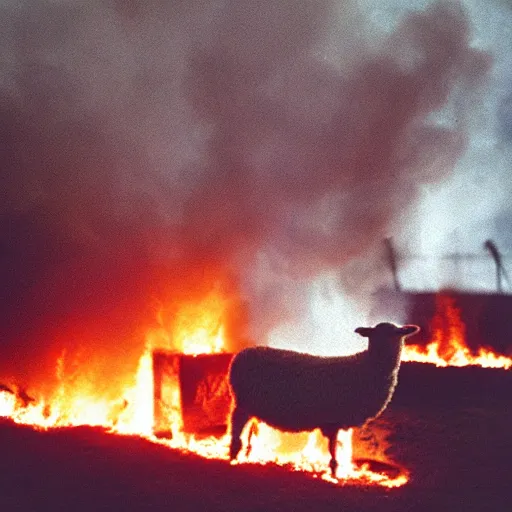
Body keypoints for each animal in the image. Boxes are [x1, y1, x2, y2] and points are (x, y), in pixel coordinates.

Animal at [229, 324, 420, 476]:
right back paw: (233, 456)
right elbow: (333, 450)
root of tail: (242, 354)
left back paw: (246, 455)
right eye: (374, 334)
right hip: (242, 403)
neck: (368, 366)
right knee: (236, 430)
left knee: (249, 431)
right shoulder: (333, 420)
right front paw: (334, 473)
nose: (384, 348)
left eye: (396, 333)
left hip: (253, 407)